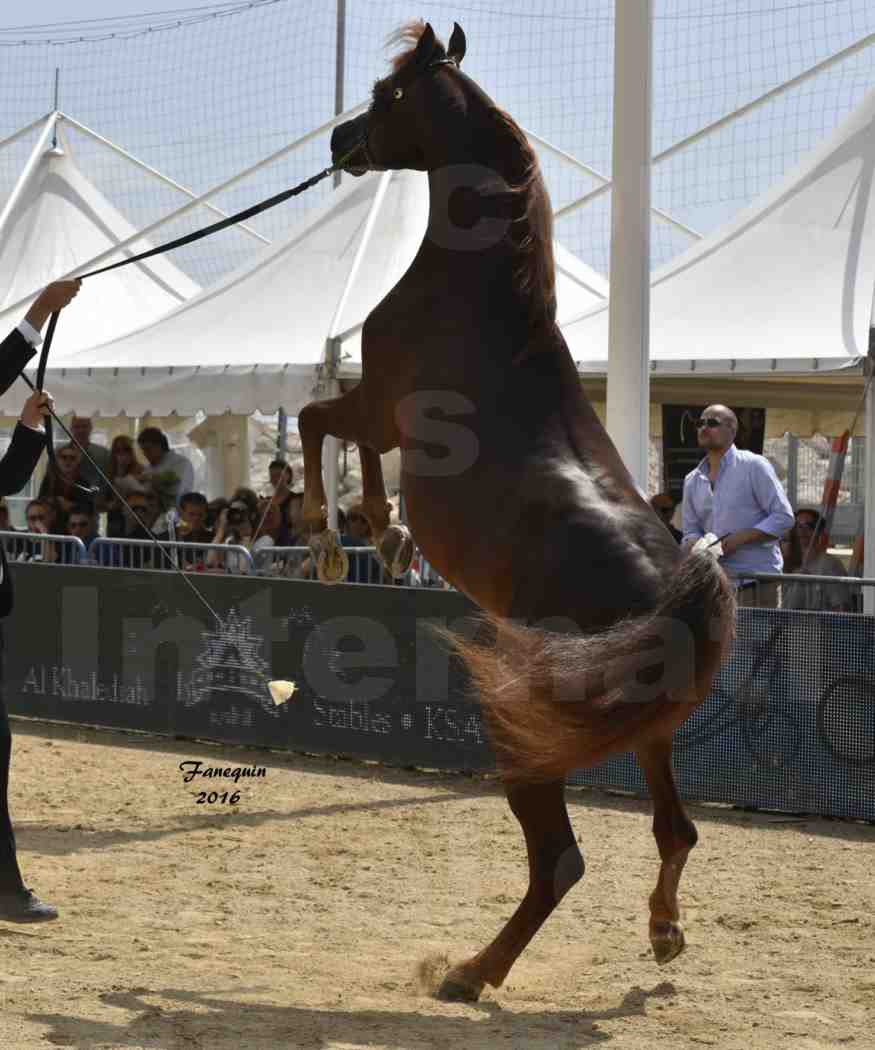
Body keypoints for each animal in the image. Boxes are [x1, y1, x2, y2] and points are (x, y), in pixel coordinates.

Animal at [296, 22, 735, 999]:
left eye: (387, 96)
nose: (342, 142)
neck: (479, 299)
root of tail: (681, 597)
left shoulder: (376, 405)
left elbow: (315, 425)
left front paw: (339, 541)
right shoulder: (381, 415)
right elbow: (347, 452)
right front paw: (384, 536)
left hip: (529, 734)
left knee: (559, 860)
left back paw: (469, 972)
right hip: (643, 734)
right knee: (674, 831)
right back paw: (661, 937)